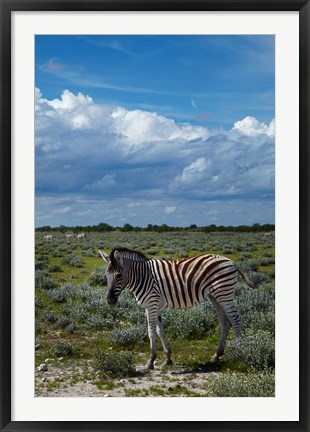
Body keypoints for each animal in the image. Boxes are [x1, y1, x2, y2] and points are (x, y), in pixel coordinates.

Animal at [100, 248, 256, 370]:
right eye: (106, 276)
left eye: (119, 275)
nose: (110, 301)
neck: (142, 276)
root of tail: (231, 261)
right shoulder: (155, 305)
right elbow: (160, 330)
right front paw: (167, 359)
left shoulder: (151, 303)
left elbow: (151, 331)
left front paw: (150, 361)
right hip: (215, 296)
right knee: (225, 322)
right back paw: (217, 355)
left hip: (224, 293)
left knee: (236, 320)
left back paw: (238, 352)